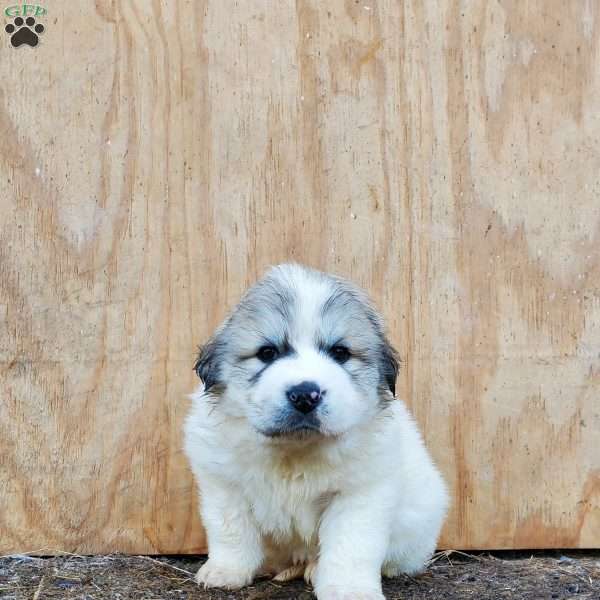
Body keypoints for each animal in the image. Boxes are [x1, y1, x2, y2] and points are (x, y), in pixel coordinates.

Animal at [185, 264, 448, 600]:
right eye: (267, 353)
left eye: (340, 352)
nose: (304, 395)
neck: (295, 451)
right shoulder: (224, 484)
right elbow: (231, 530)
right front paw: (227, 571)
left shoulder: (359, 493)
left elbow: (350, 545)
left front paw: (349, 589)